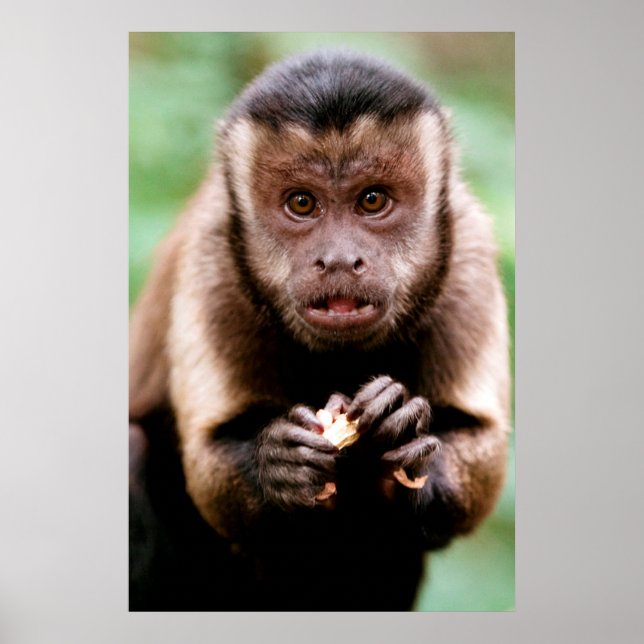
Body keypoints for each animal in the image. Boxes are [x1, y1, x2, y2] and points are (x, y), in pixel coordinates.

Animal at [129, 49, 511, 611]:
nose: (337, 259)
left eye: (372, 200)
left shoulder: (467, 252)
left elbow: (480, 449)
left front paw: (403, 429)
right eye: (302, 203)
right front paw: (278, 465)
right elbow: (208, 462)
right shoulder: (213, 256)